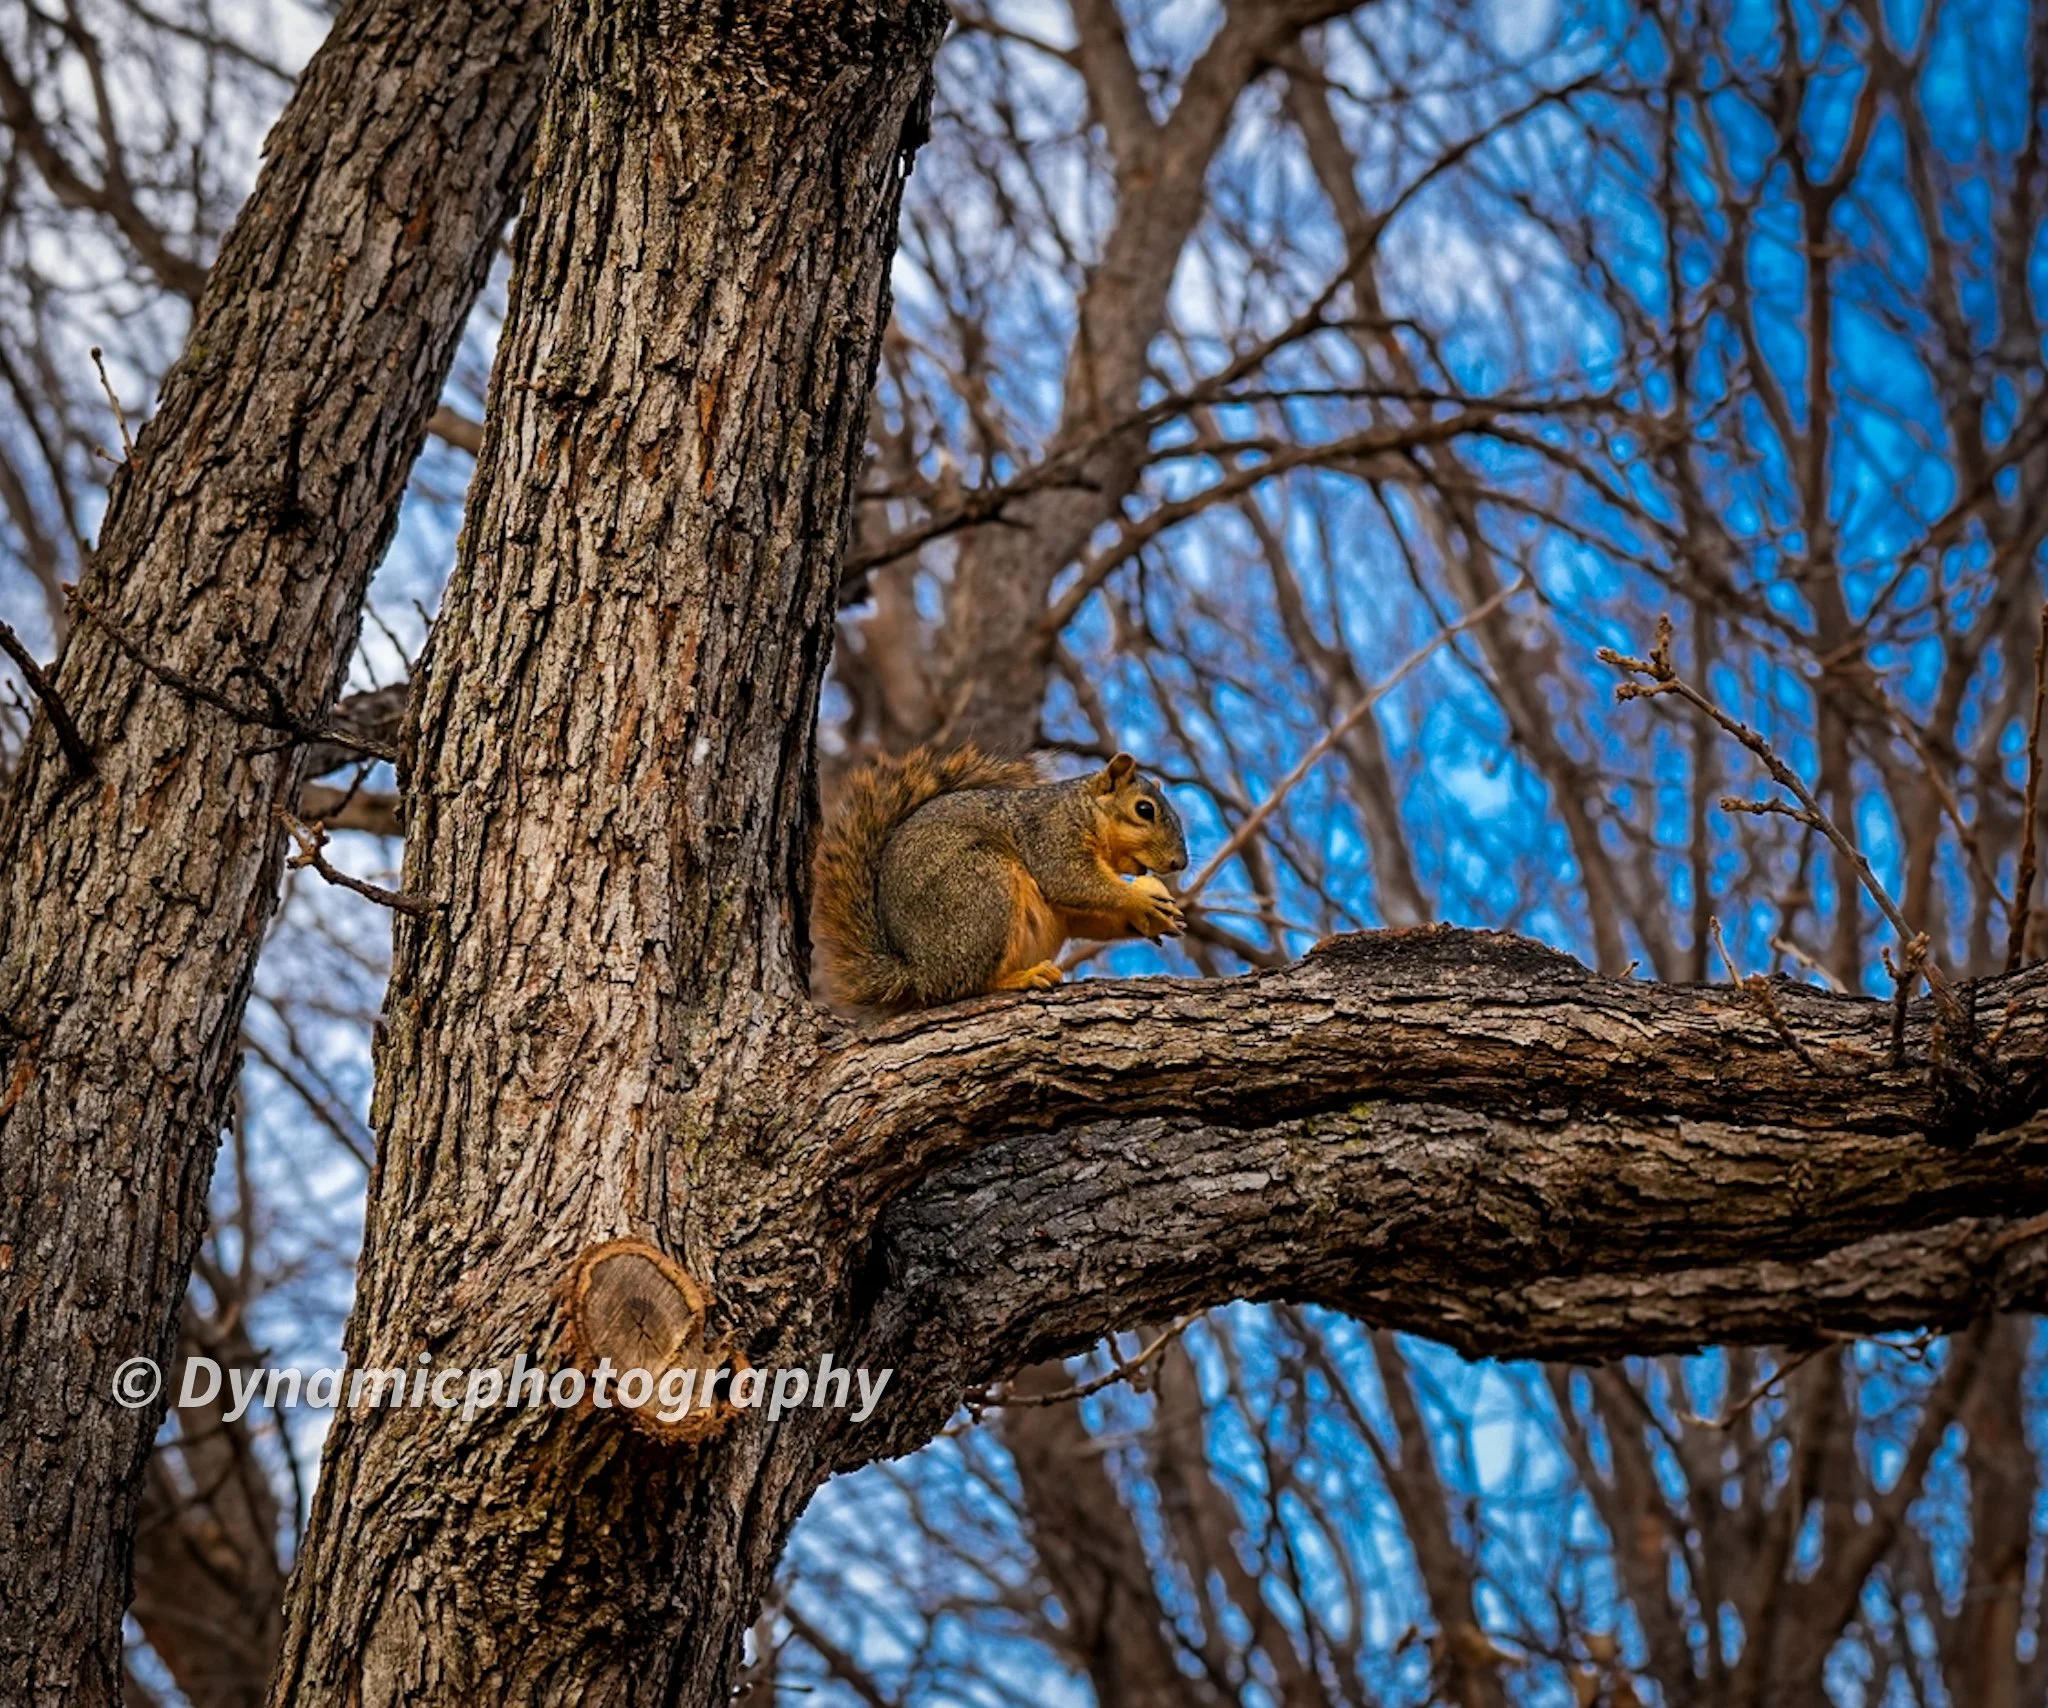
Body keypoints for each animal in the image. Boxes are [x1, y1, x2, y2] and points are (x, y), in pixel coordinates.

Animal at [813, 746, 1191, 1009]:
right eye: (1144, 809)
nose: (1180, 863)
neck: (1086, 811)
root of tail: (918, 971)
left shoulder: (1067, 908)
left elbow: (1083, 916)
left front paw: (1152, 919)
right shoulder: (1051, 834)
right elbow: (1069, 878)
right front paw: (1139, 900)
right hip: (982, 888)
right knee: (964, 986)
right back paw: (1022, 978)